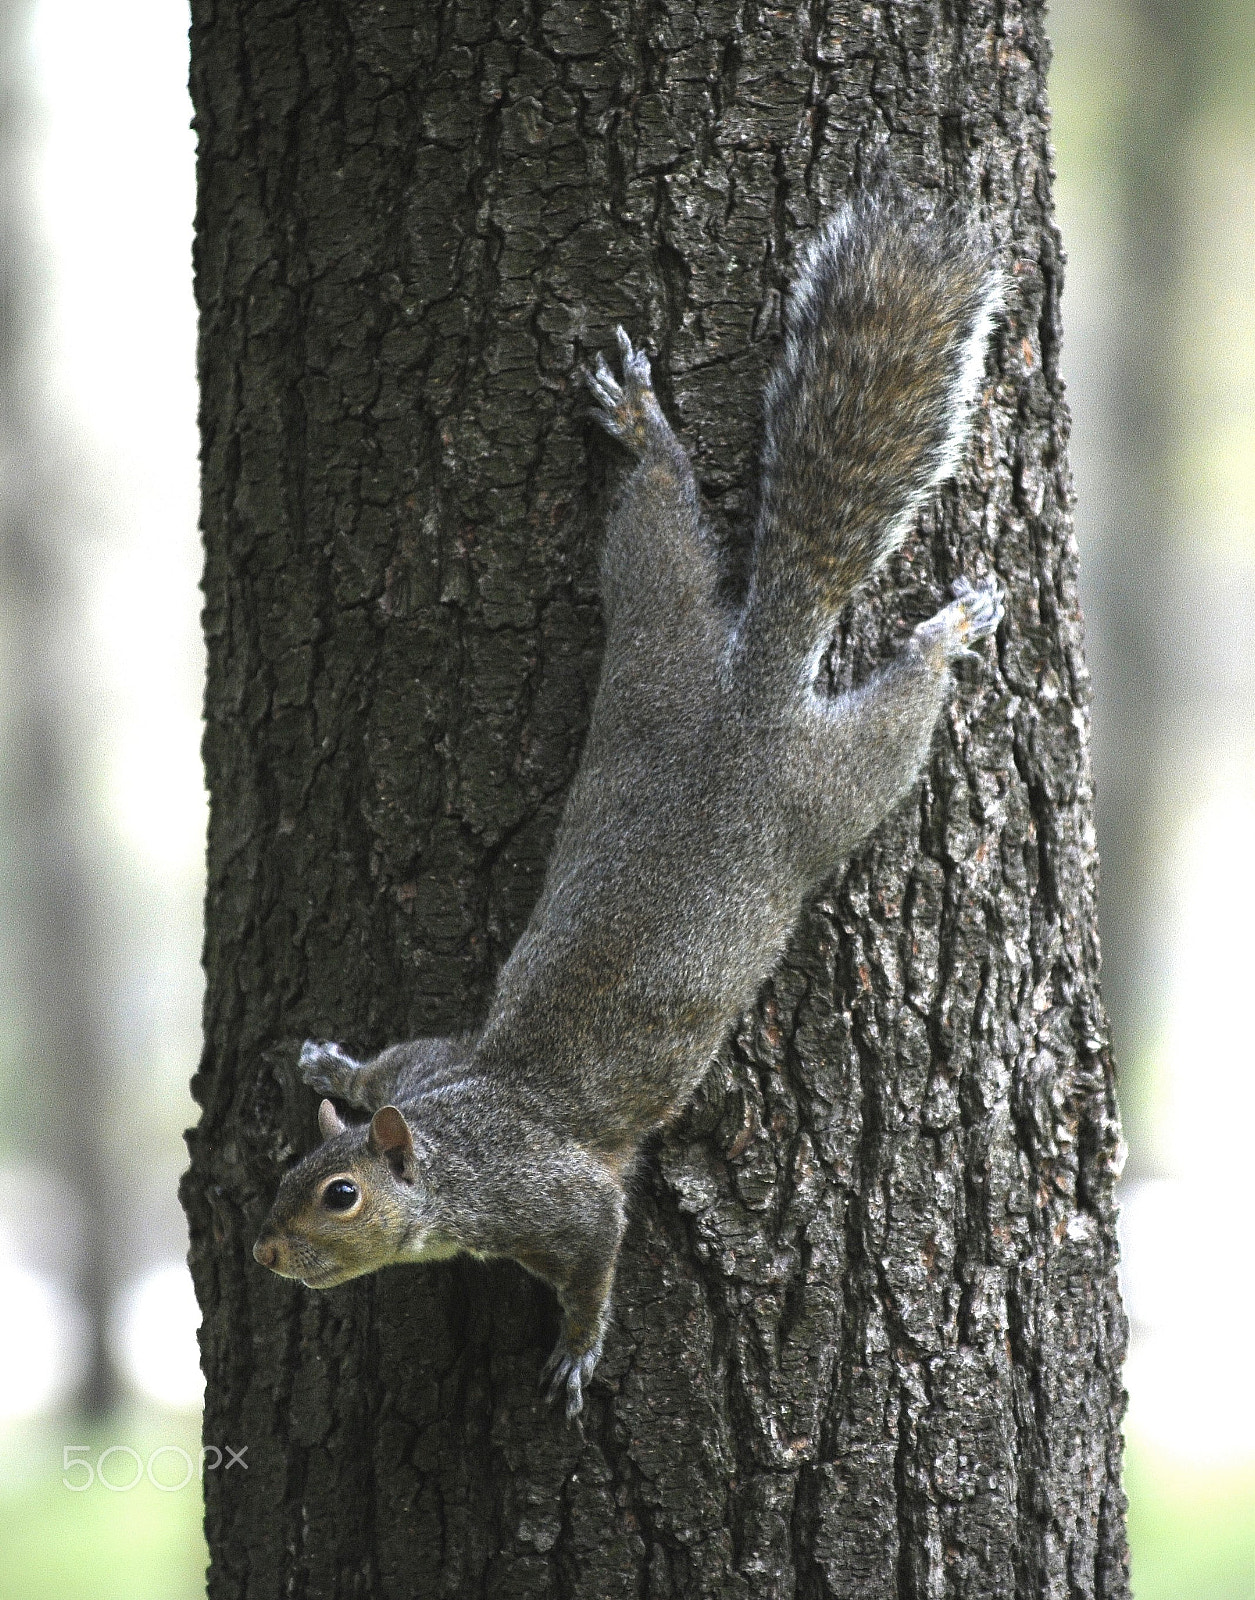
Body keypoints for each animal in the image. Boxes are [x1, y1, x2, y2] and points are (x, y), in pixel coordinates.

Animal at [252, 193, 998, 1420]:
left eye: (340, 1196)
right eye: (290, 1170)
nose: (265, 1254)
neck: (458, 1138)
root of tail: (749, 689)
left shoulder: (558, 1200)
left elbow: (599, 1257)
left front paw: (578, 1349)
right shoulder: (425, 1062)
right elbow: (380, 1065)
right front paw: (326, 1066)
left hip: (842, 782)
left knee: (903, 708)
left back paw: (943, 632)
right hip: (657, 630)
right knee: (659, 522)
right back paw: (643, 430)